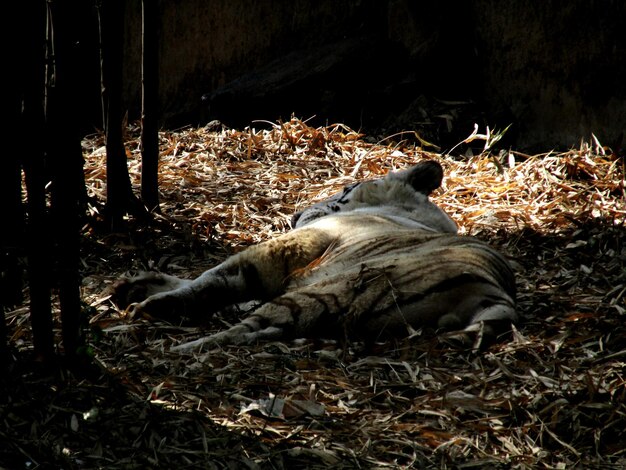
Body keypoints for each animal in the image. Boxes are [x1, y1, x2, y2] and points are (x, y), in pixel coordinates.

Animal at [109, 160, 516, 350]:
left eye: (348, 187)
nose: (294, 214)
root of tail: (497, 292)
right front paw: (137, 284)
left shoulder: (281, 251)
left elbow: (214, 278)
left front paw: (152, 300)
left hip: (330, 290)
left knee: (246, 330)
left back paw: (181, 349)